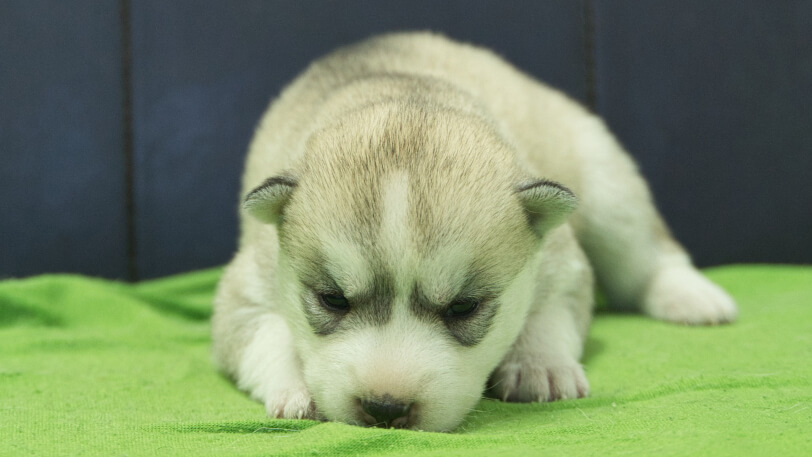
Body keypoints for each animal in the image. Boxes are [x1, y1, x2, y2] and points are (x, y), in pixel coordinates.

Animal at [213, 32, 740, 432]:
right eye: (333, 300)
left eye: (463, 307)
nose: (385, 408)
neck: (407, 98)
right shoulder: (247, 284)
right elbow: (262, 333)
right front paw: (296, 386)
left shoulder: (559, 258)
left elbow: (549, 311)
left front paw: (539, 365)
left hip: (606, 182)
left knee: (645, 254)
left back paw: (693, 297)